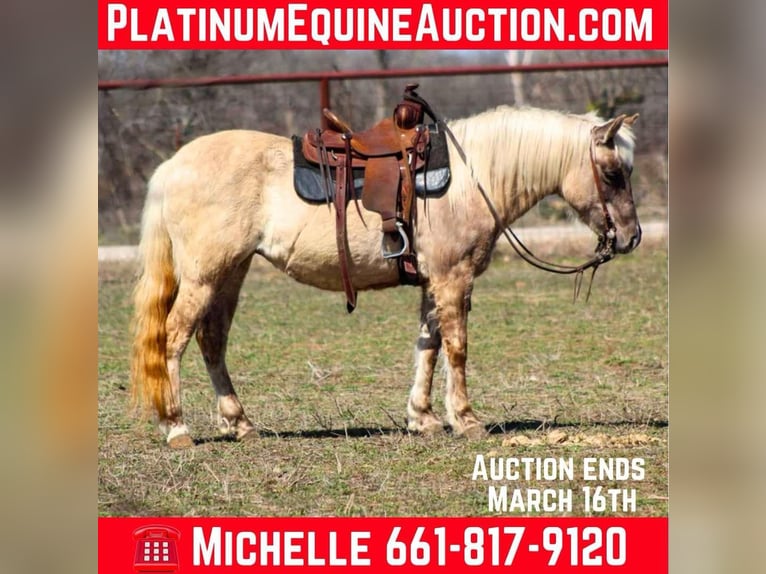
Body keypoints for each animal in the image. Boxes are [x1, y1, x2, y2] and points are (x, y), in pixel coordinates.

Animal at [130, 104, 641, 448]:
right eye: (613, 173)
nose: (631, 237)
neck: (471, 179)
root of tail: (173, 165)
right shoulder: (454, 279)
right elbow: (456, 348)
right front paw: (466, 419)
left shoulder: (434, 282)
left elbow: (428, 347)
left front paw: (424, 418)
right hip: (204, 276)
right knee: (173, 338)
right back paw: (176, 427)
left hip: (230, 274)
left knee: (211, 341)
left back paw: (240, 423)